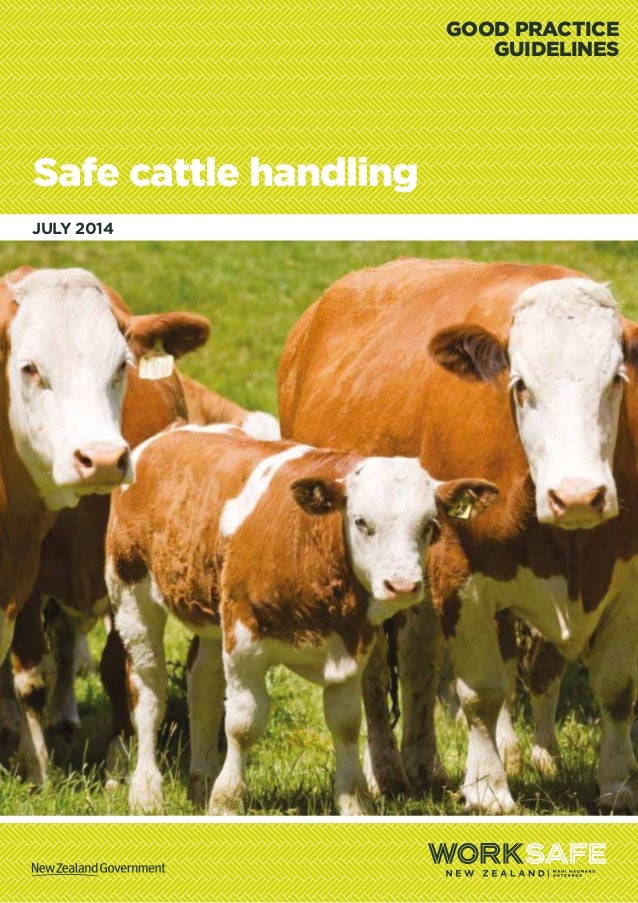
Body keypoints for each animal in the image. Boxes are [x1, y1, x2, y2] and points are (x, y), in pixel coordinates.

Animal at [0, 265, 210, 784]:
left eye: (121, 367)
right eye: (30, 368)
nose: (101, 458)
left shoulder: (119, 569)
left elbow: (118, 666)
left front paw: (120, 757)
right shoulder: (25, 577)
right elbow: (30, 672)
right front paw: (37, 766)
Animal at [105, 425, 497, 814]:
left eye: (430, 524)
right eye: (361, 521)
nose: (402, 585)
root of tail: (171, 434)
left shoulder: (349, 649)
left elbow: (346, 723)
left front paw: (355, 803)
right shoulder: (243, 640)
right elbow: (243, 724)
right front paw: (227, 800)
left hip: (211, 616)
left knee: (203, 689)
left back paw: (201, 783)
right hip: (131, 596)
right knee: (149, 692)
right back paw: (146, 791)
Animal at [278, 257, 638, 813]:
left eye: (616, 380)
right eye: (520, 385)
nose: (578, 495)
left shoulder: (626, 578)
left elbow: (617, 688)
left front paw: (618, 784)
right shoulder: (462, 571)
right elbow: (483, 692)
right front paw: (488, 787)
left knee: (418, 657)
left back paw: (423, 763)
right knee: (376, 671)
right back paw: (385, 772)